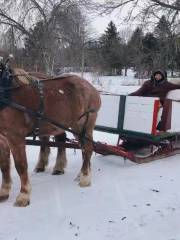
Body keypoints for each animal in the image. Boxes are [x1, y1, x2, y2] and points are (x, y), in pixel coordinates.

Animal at [0, 65, 100, 206]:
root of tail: (91, 87)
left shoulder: (15, 136)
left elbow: (21, 165)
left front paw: (24, 195)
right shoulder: (2, 137)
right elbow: (3, 164)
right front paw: (4, 192)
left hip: (84, 125)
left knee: (88, 148)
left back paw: (85, 178)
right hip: (74, 128)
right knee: (81, 148)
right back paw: (81, 174)